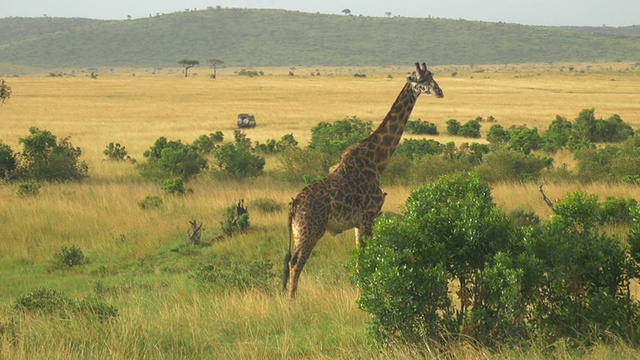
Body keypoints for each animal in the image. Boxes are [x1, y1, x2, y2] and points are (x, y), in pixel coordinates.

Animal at [282, 62, 442, 298]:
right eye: (421, 80)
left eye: (433, 76)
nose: (439, 91)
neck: (377, 162)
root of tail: (294, 205)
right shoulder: (369, 216)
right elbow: (366, 261)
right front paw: (367, 295)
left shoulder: (359, 222)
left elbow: (359, 261)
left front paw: (362, 293)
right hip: (311, 230)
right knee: (296, 263)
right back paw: (292, 301)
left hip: (298, 231)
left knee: (291, 262)